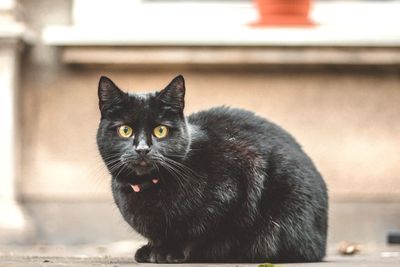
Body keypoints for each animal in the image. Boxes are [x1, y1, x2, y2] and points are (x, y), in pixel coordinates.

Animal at [96, 75, 328, 264]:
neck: (150, 189)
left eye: (160, 130)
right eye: (125, 130)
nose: (142, 149)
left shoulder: (239, 182)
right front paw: (153, 248)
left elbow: (198, 233)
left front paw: (170, 251)